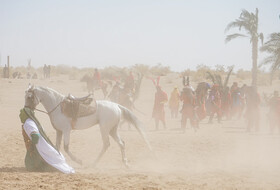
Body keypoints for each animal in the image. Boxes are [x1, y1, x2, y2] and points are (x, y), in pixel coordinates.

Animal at [24, 85, 152, 167]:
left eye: (29, 97)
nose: (26, 109)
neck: (57, 106)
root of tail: (116, 106)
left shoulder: (66, 130)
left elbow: (66, 147)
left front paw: (78, 161)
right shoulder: (59, 131)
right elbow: (57, 146)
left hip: (104, 129)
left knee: (106, 144)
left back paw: (94, 163)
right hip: (112, 130)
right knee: (121, 143)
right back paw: (125, 163)